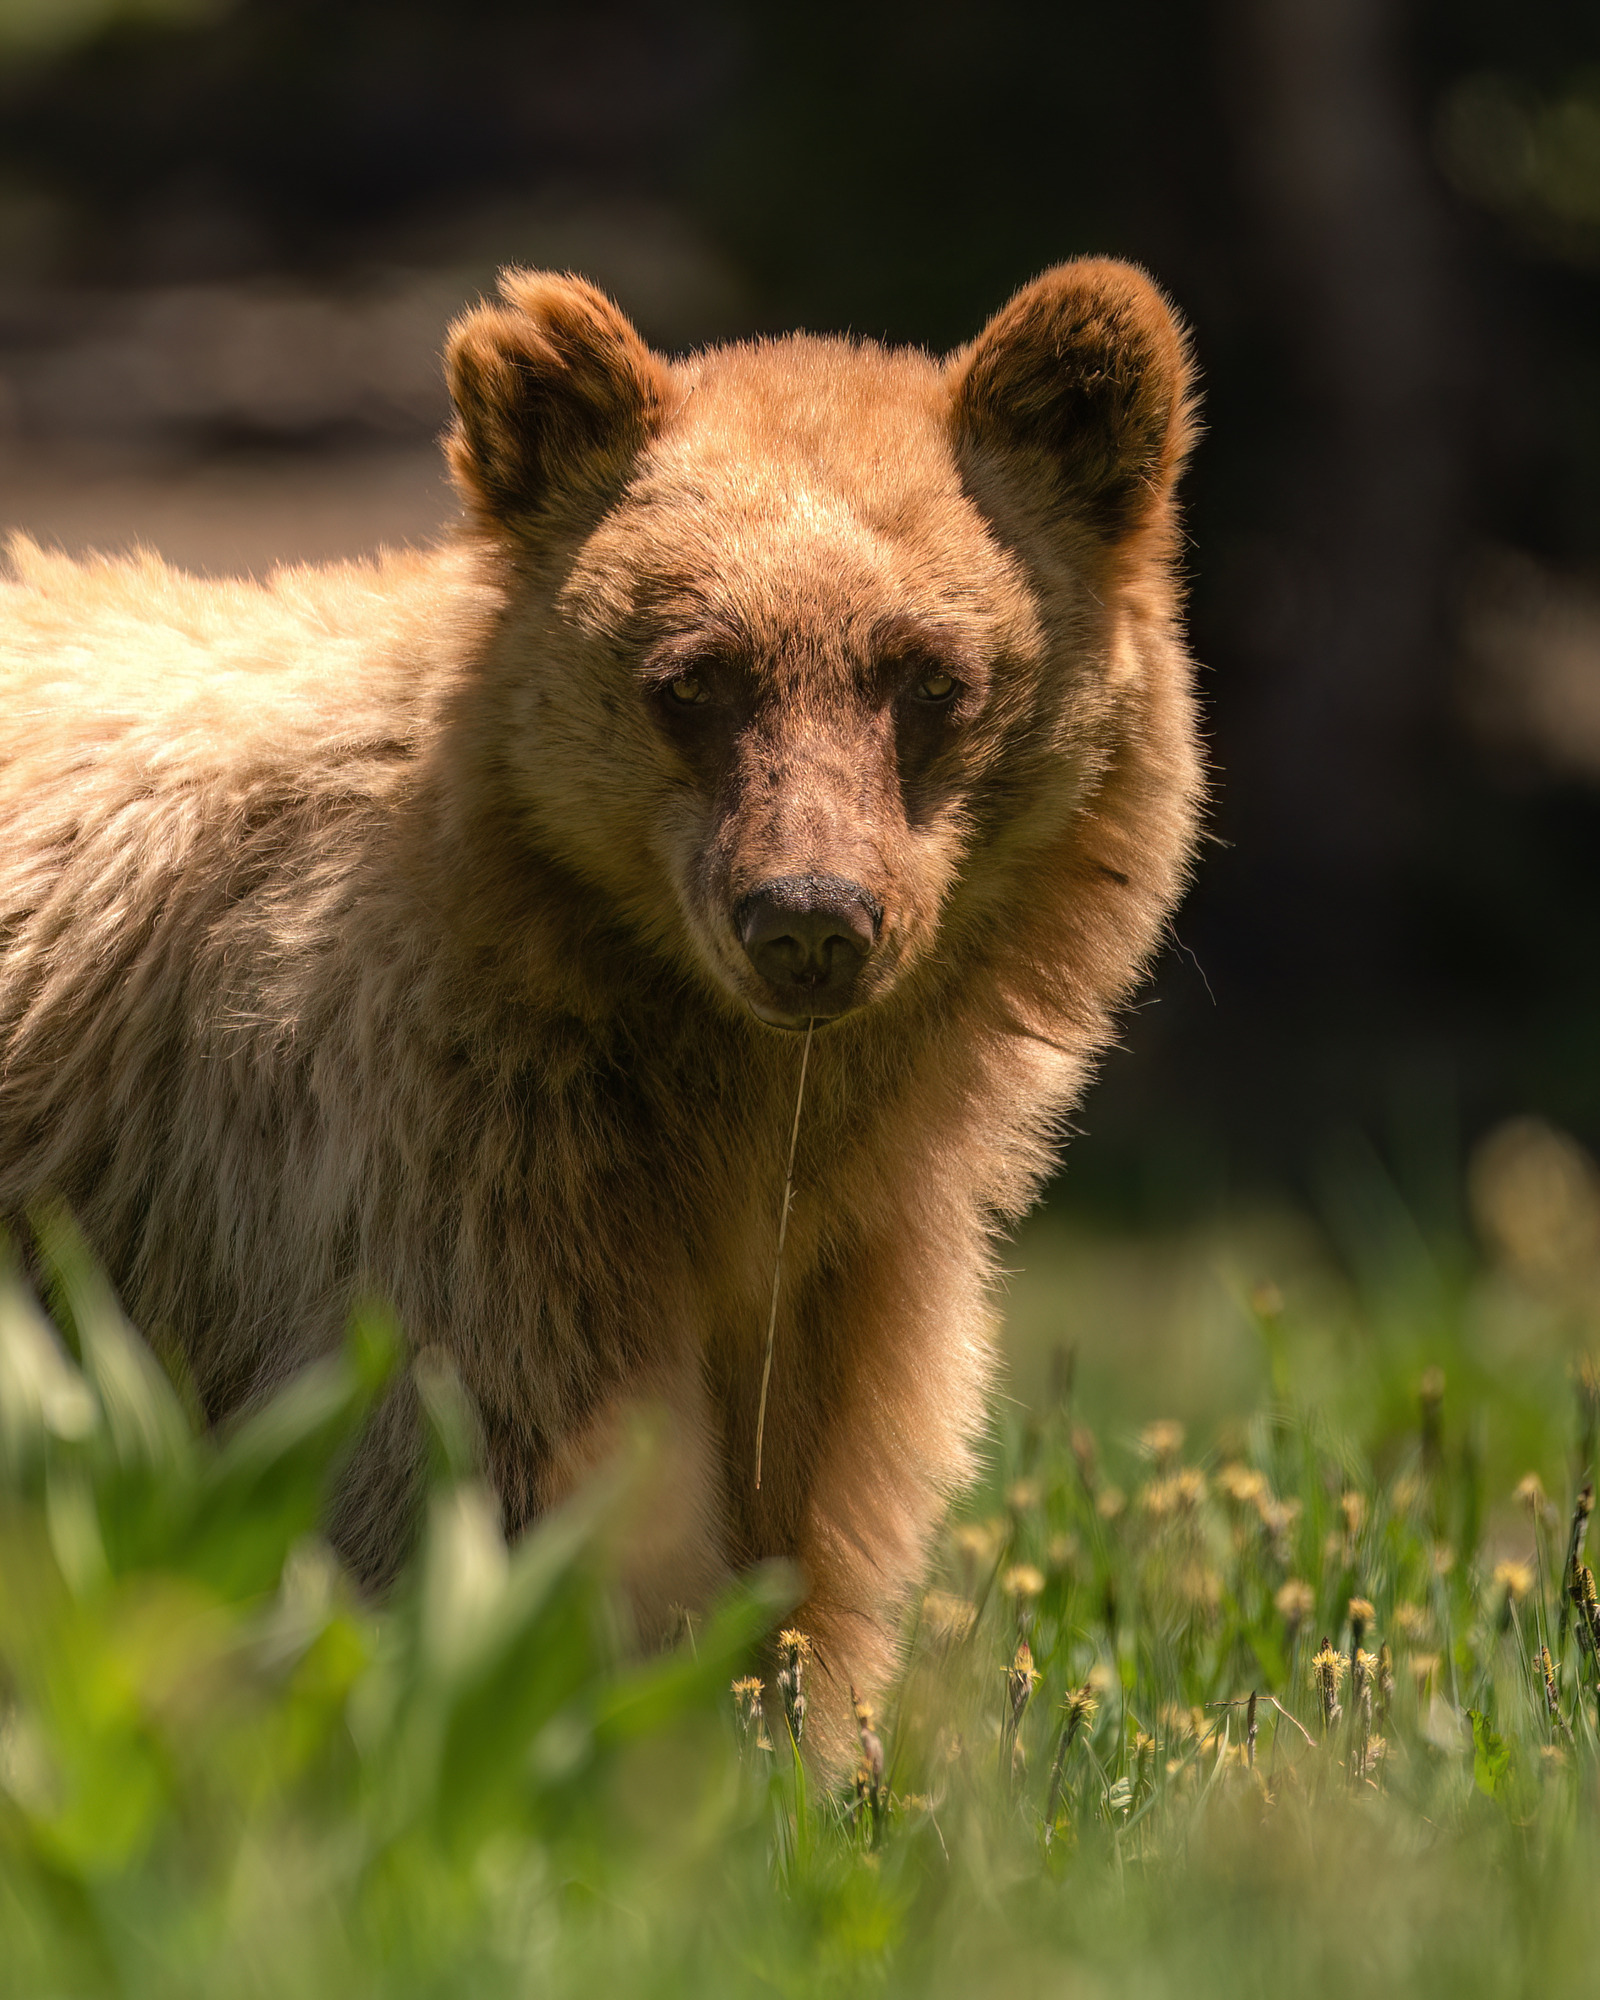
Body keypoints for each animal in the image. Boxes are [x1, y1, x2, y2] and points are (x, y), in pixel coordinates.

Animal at [0, 260, 1202, 1765]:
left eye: (929, 674)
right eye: (694, 676)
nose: (810, 920)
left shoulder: (847, 1257)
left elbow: (817, 1507)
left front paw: (805, 1740)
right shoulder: (459, 1148)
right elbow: (512, 1471)